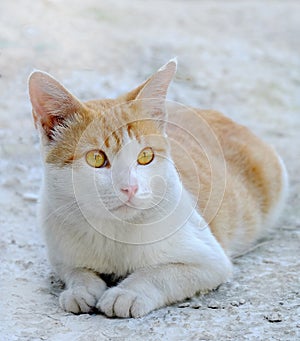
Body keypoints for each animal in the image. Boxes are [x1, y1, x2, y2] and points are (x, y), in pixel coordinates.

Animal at [28, 58, 288, 316]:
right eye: (96, 159)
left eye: (145, 156)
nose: (130, 188)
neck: (115, 231)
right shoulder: (59, 249)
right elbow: (74, 270)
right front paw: (80, 289)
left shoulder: (210, 259)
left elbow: (160, 273)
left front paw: (127, 293)